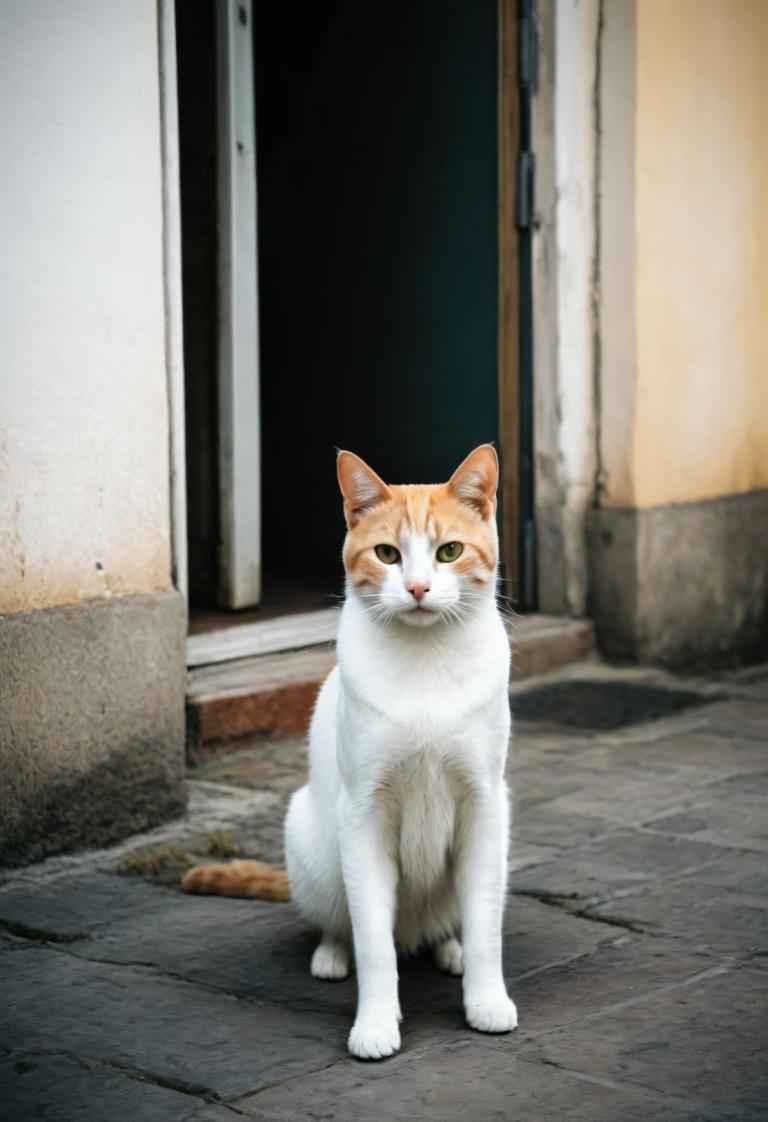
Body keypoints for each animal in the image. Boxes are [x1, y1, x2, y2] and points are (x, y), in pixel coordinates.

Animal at [181, 446, 516, 1059]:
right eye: (387, 554)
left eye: (449, 552)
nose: (417, 588)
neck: (425, 660)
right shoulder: (364, 814)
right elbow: (373, 944)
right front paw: (376, 1025)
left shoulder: (484, 806)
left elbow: (486, 926)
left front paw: (486, 1000)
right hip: (314, 841)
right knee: (346, 923)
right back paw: (332, 955)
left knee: (449, 920)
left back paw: (448, 947)